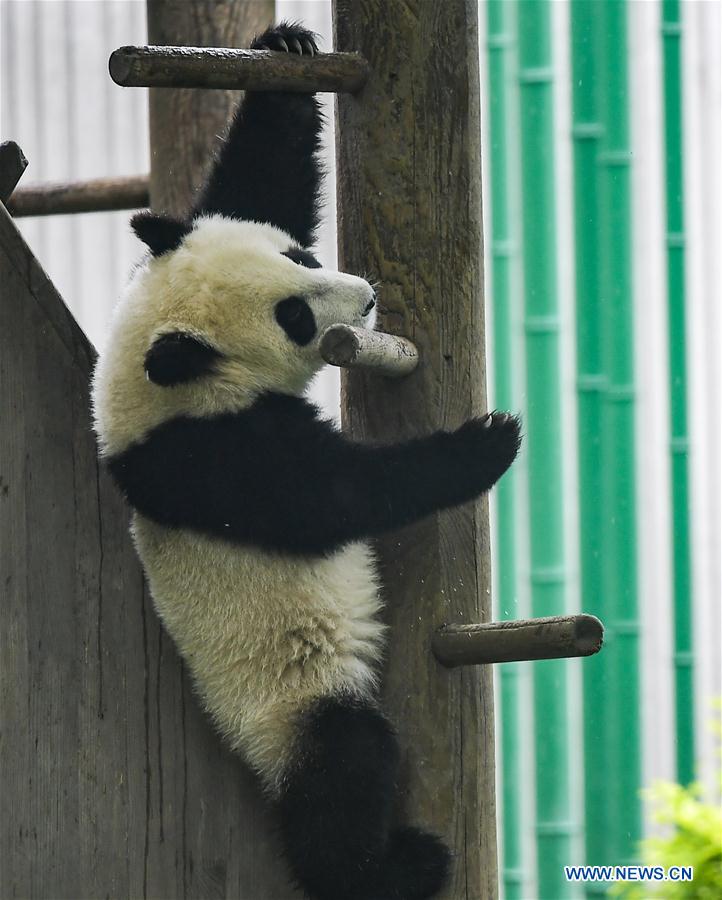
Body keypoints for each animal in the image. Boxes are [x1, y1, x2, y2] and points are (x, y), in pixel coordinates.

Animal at [92, 21, 521, 900]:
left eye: (300, 255)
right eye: (293, 315)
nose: (364, 298)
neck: (161, 377)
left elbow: (259, 180)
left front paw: (285, 50)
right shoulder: (208, 453)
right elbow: (334, 496)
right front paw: (486, 442)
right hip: (286, 697)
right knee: (342, 769)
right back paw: (393, 865)